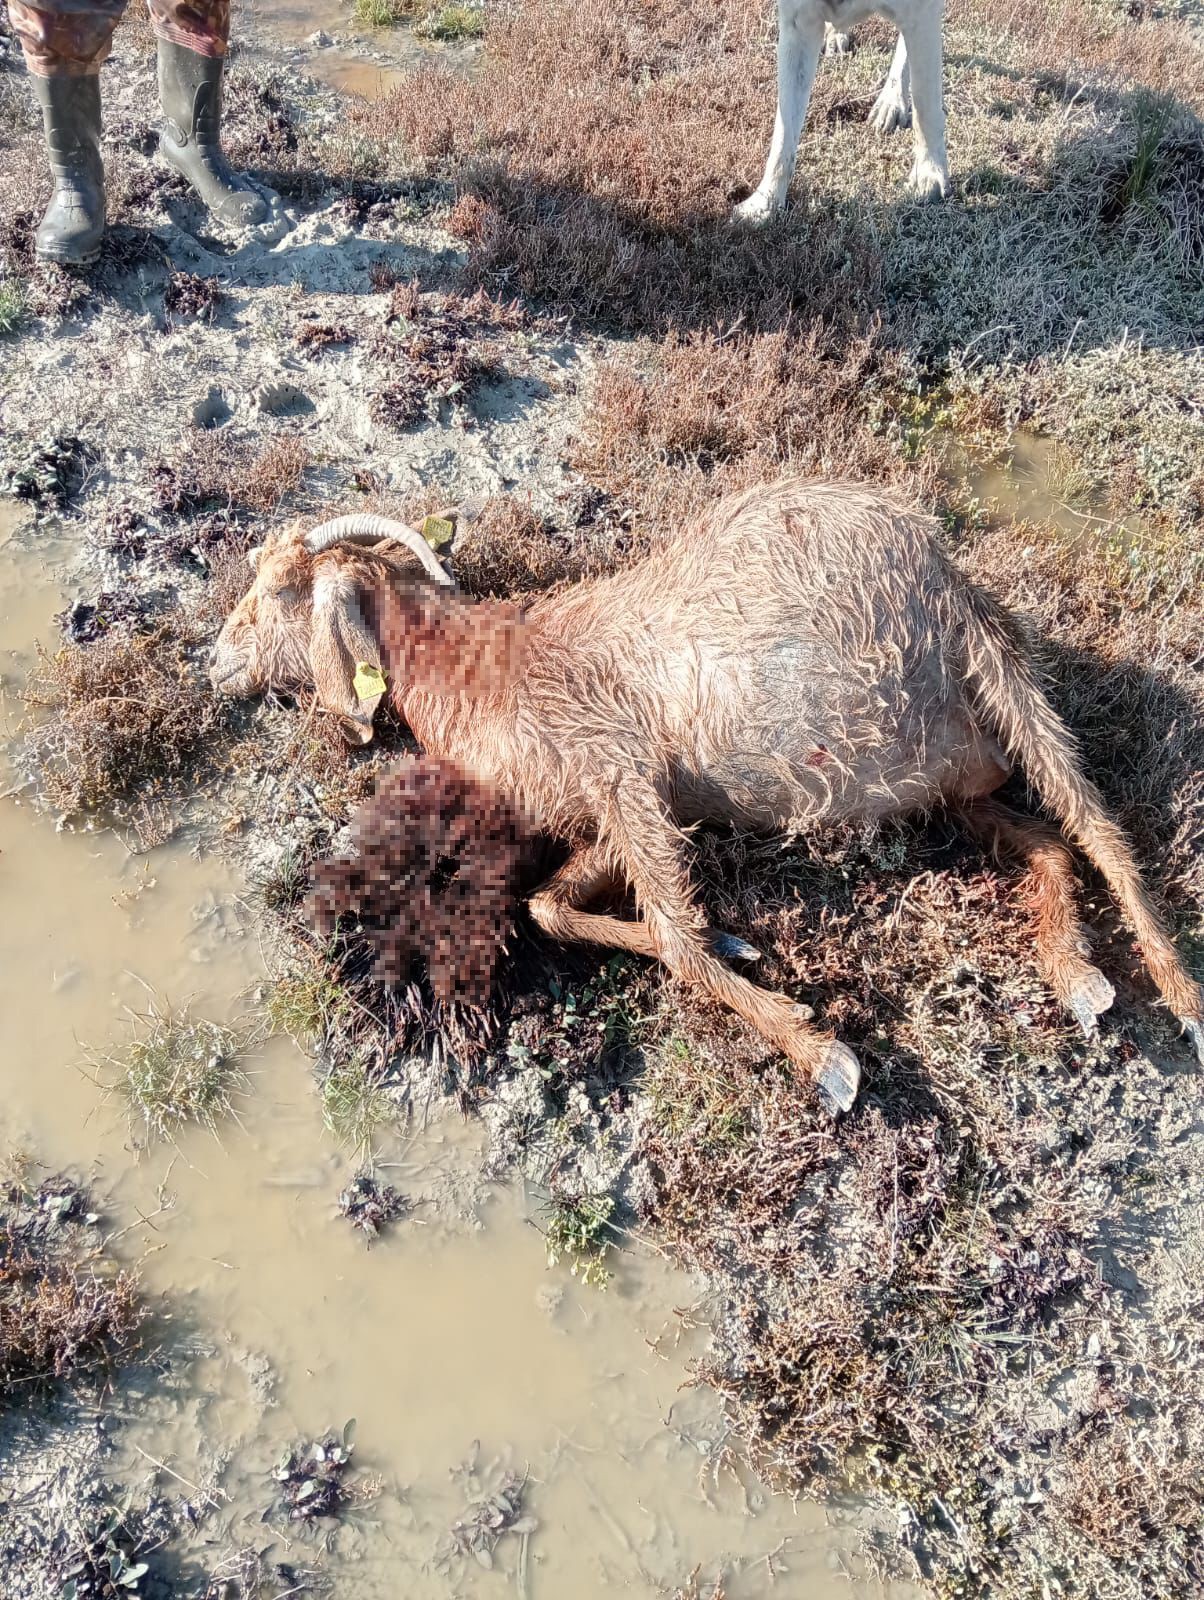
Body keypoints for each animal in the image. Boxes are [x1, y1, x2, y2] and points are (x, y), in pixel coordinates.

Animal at [211, 480, 1204, 1120]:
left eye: (279, 591)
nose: (214, 660)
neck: (485, 666)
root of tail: (945, 569)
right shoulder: (629, 804)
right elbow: (551, 907)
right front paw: (739, 947)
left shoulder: (618, 767)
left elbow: (676, 940)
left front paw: (818, 1052)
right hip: (956, 770)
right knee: (1050, 840)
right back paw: (1077, 972)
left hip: (999, 675)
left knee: (1100, 826)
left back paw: (1181, 996)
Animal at [733, 0, 947, 225]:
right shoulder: (797, 22)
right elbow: (784, 135)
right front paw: (765, 202)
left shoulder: (923, 15)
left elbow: (926, 108)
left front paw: (929, 172)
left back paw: (892, 100)